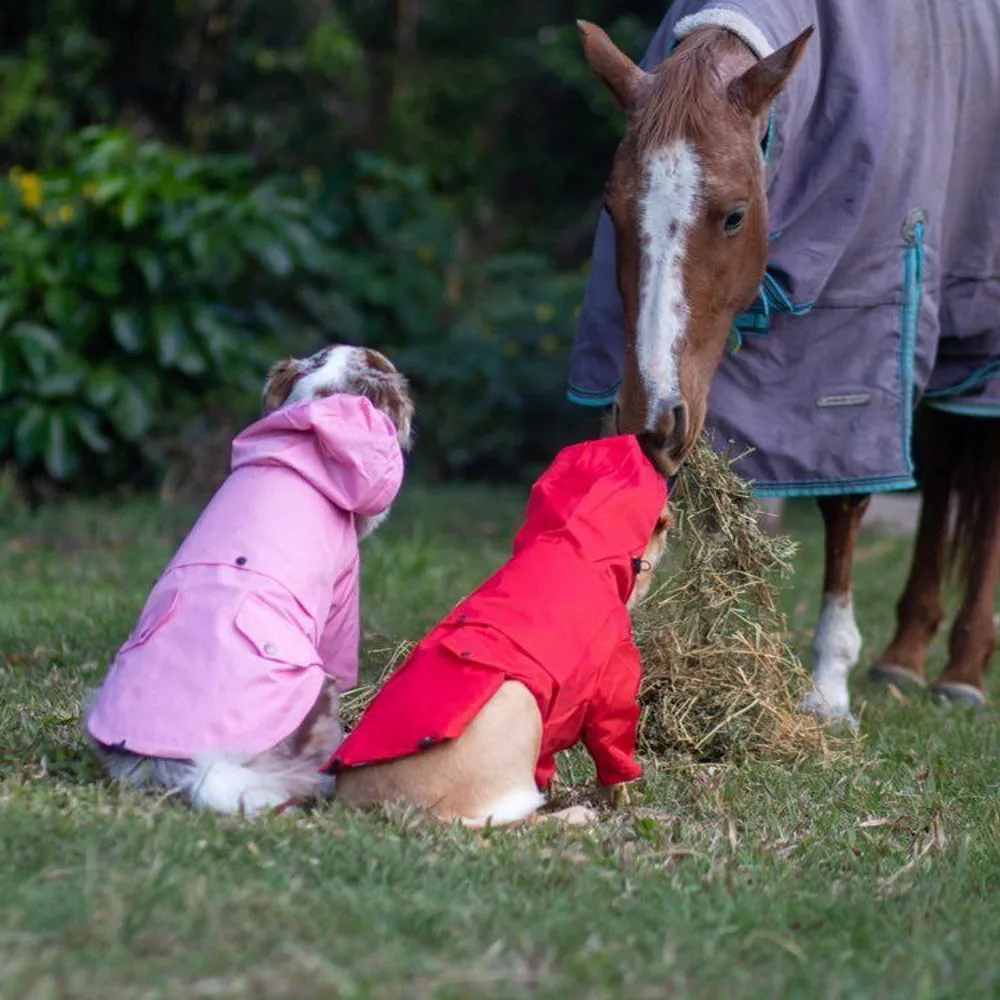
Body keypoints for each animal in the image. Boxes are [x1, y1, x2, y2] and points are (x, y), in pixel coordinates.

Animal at [330, 438, 672, 828]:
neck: (571, 544)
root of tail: (401, 812)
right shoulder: (612, 685)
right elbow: (612, 754)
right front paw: (622, 801)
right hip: (518, 701)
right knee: (516, 821)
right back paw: (573, 815)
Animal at [568, 0, 1000, 720]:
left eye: (734, 215)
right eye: (612, 209)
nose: (652, 420)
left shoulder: (859, 338)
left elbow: (846, 500)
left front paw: (828, 684)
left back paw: (963, 669)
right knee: (942, 463)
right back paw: (907, 654)